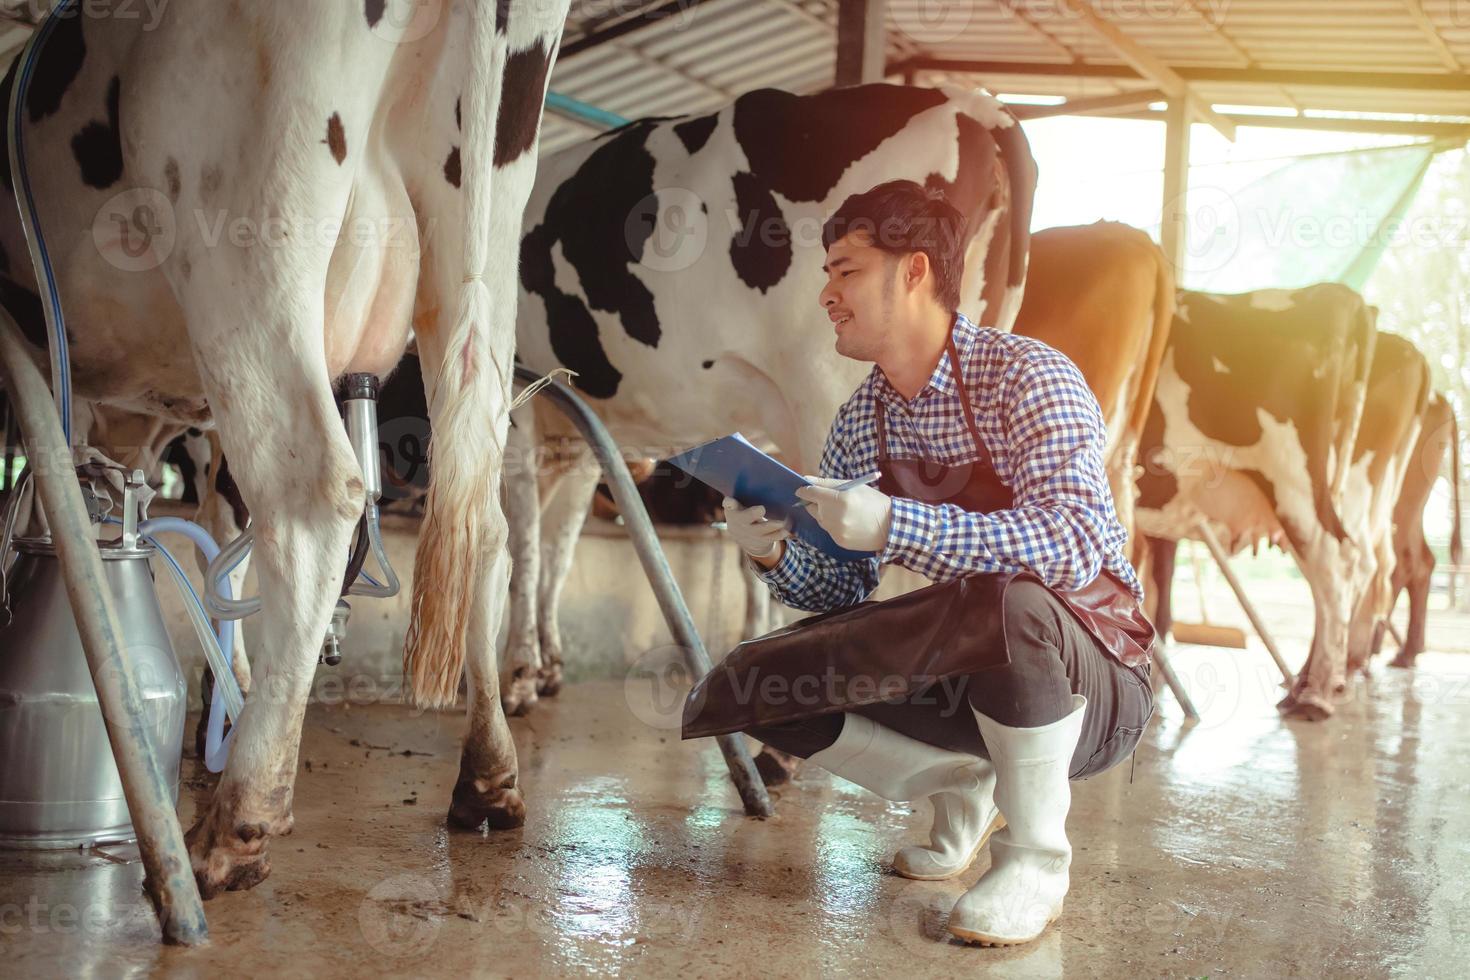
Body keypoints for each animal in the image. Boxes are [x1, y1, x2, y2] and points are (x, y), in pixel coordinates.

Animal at [0, 0, 567, 899]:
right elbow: (217, 546)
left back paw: (233, 825)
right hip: (478, 263)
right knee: (482, 524)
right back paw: (486, 780)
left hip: (243, 234)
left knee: (312, 498)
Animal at [499, 84, 1040, 714]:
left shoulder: (522, 395)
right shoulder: (586, 422)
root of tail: (977, 102)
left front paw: (518, 676)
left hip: (825, 387)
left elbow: (523, 540)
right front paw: (547, 667)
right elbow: (558, 545)